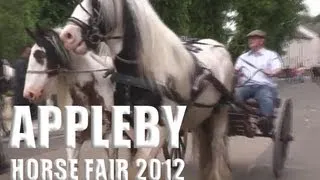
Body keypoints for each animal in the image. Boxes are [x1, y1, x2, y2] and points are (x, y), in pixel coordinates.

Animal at [60, 0, 234, 180]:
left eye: (96, 3)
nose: (67, 35)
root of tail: (219, 46)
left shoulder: (160, 128)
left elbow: (138, 165)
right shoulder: (131, 126)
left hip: (220, 111)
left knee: (216, 146)